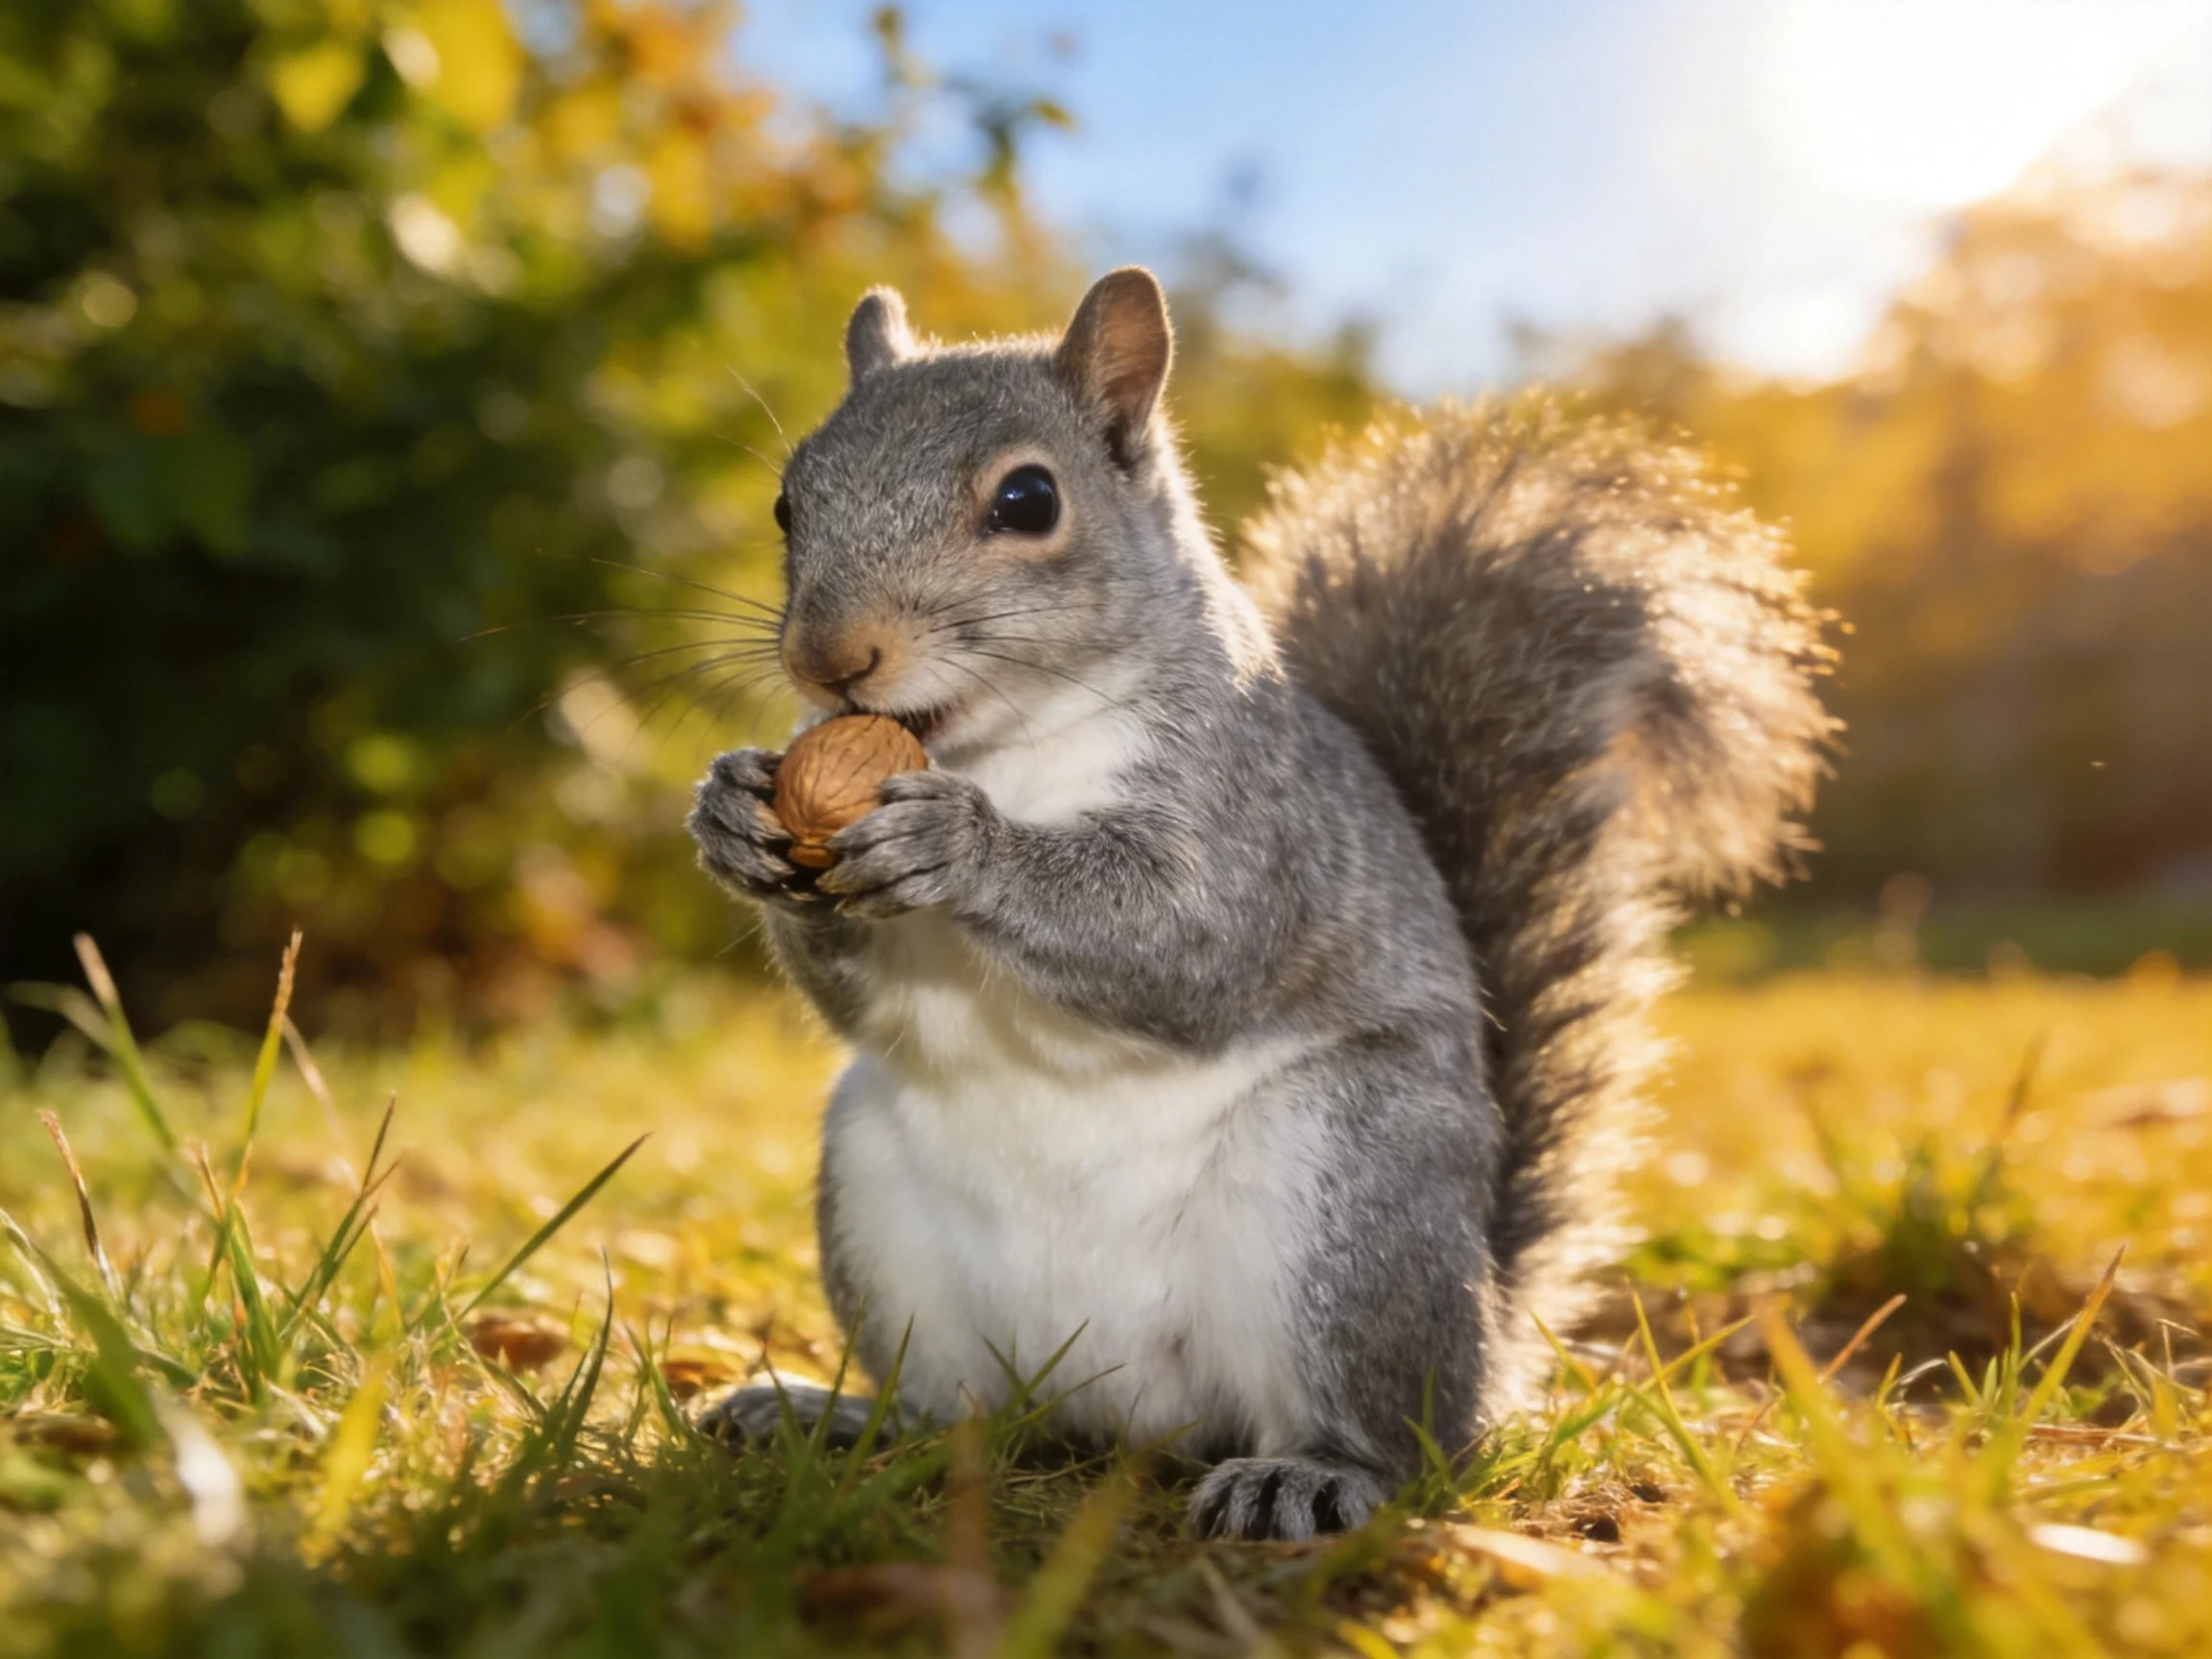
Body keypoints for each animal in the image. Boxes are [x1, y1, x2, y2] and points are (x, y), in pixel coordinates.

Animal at [687, 268, 1833, 1540]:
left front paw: (964, 846)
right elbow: (858, 992)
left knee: (1403, 1436)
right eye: (788, 504)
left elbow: (1189, 942)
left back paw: (1317, 1473)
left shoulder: (1251, 825)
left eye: (1029, 500)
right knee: (955, 1413)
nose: (829, 658)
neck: (1001, 749)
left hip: (1347, 1201)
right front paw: (732, 815)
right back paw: (836, 1418)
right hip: (880, 1210)